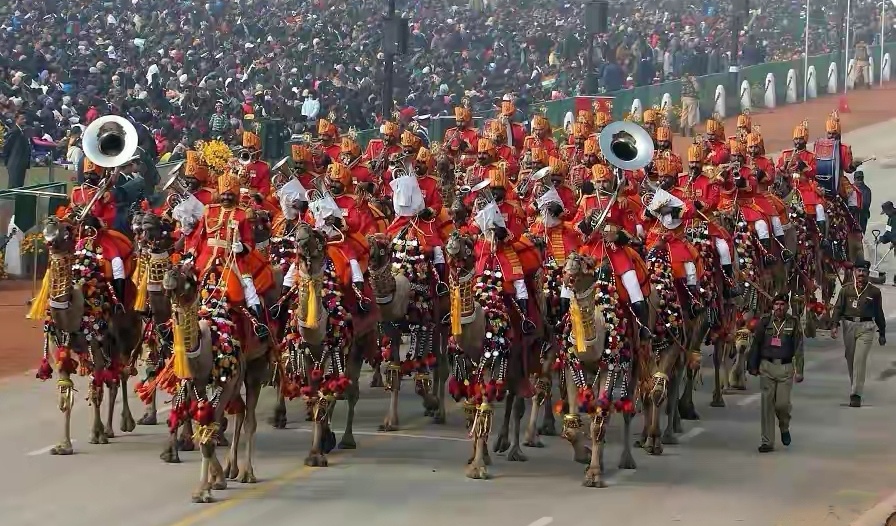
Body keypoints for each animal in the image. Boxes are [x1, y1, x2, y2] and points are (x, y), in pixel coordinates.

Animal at [38, 219, 143, 458]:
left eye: (67, 231)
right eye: (47, 227)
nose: (51, 223)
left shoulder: (95, 342)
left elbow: (96, 389)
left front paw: (97, 435)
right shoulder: (59, 347)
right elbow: (65, 391)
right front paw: (63, 446)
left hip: (127, 334)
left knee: (121, 373)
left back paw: (124, 423)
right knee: (113, 377)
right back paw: (110, 429)